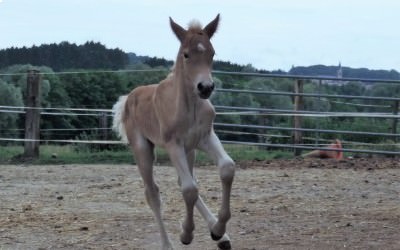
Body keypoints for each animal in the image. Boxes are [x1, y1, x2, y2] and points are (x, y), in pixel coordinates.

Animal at [111, 14, 234, 249]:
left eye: (212, 53)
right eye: (186, 54)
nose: (205, 87)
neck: (190, 106)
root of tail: (128, 98)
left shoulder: (205, 138)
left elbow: (226, 169)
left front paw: (218, 230)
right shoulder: (173, 144)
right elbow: (189, 189)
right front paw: (186, 234)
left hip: (190, 150)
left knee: (185, 182)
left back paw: (220, 236)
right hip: (143, 149)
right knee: (153, 193)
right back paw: (167, 244)